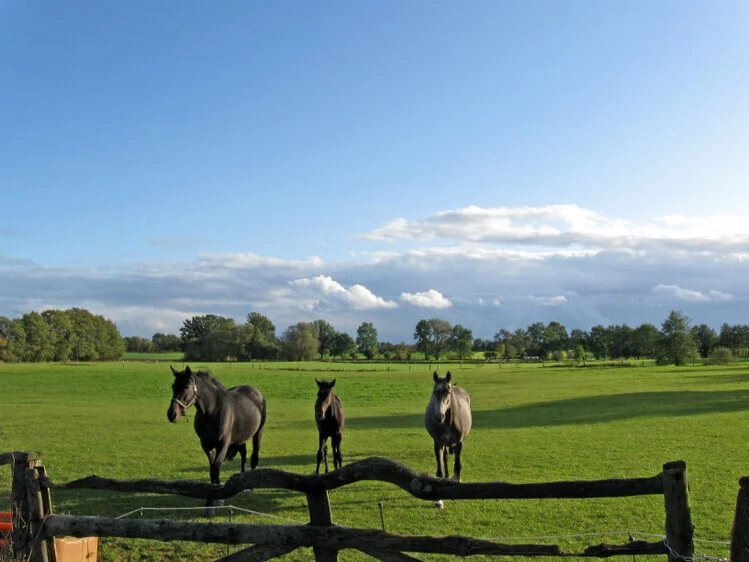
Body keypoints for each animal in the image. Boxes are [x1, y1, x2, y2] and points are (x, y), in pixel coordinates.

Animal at [167, 365, 266, 504]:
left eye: (186, 387)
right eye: (173, 386)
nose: (172, 414)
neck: (212, 411)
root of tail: (257, 393)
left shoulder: (222, 445)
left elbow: (216, 468)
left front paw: (215, 499)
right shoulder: (206, 445)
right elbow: (212, 470)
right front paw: (214, 497)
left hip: (258, 433)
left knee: (254, 457)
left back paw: (249, 489)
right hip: (240, 438)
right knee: (243, 454)